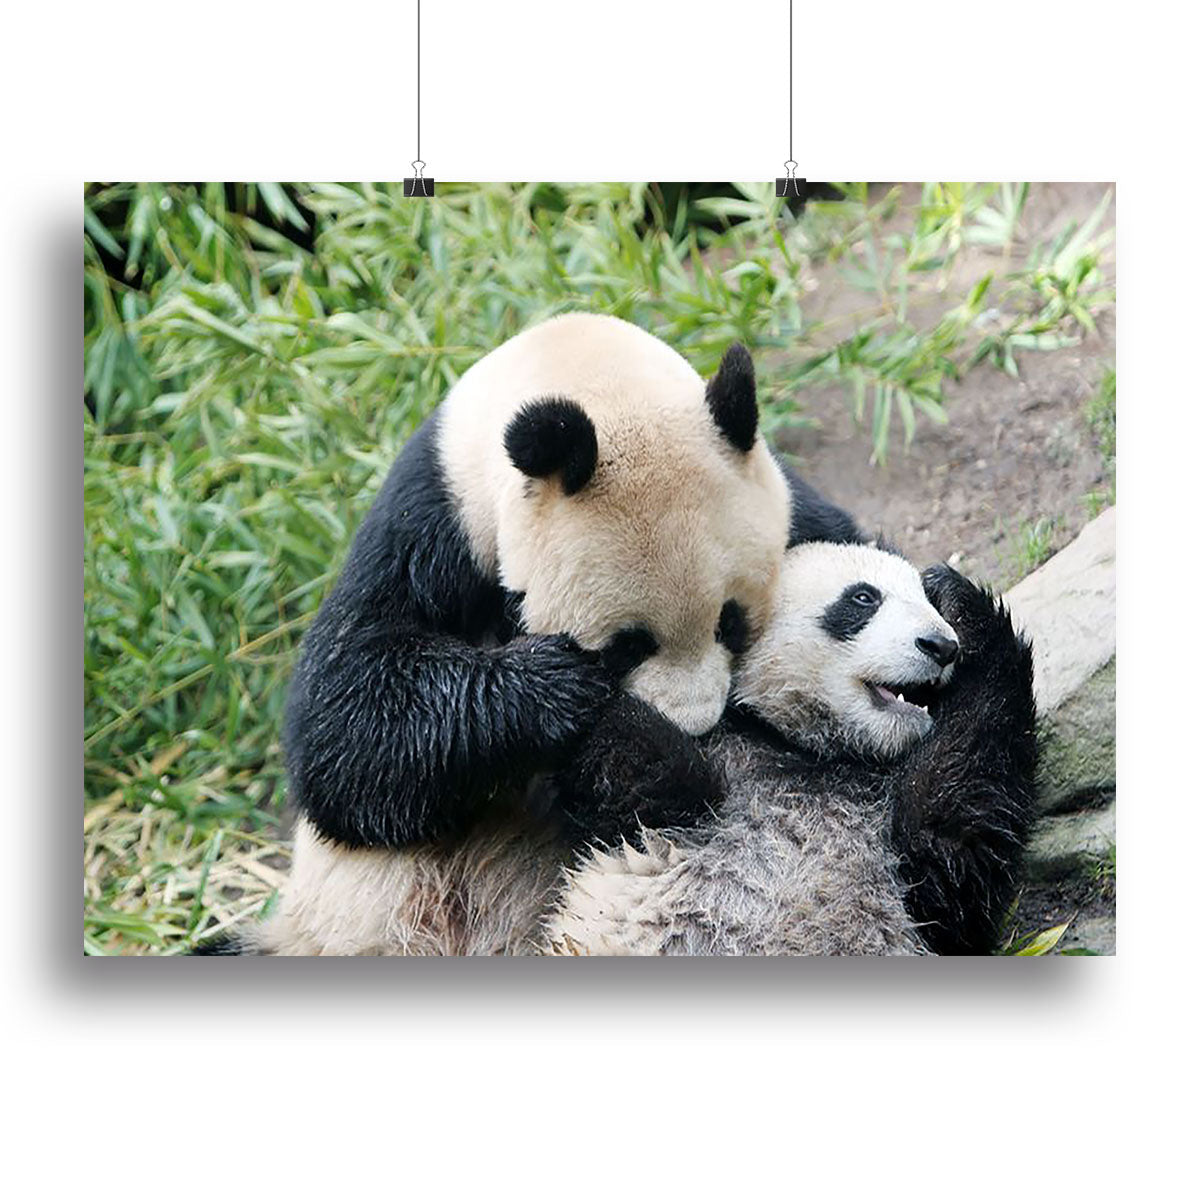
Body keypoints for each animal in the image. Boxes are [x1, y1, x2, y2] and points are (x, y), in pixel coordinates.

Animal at [196, 313, 861, 955]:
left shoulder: (788, 498)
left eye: (731, 621)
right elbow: (345, 722)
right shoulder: (431, 522)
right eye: (627, 646)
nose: (696, 726)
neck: (580, 368)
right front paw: (556, 688)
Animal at [543, 543, 1038, 956]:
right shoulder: (723, 765)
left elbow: (956, 841)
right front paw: (556, 681)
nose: (940, 645)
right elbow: (645, 774)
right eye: (863, 598)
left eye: (929, 606)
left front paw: (961, 600)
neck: (816, 752)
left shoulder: (907, 866)